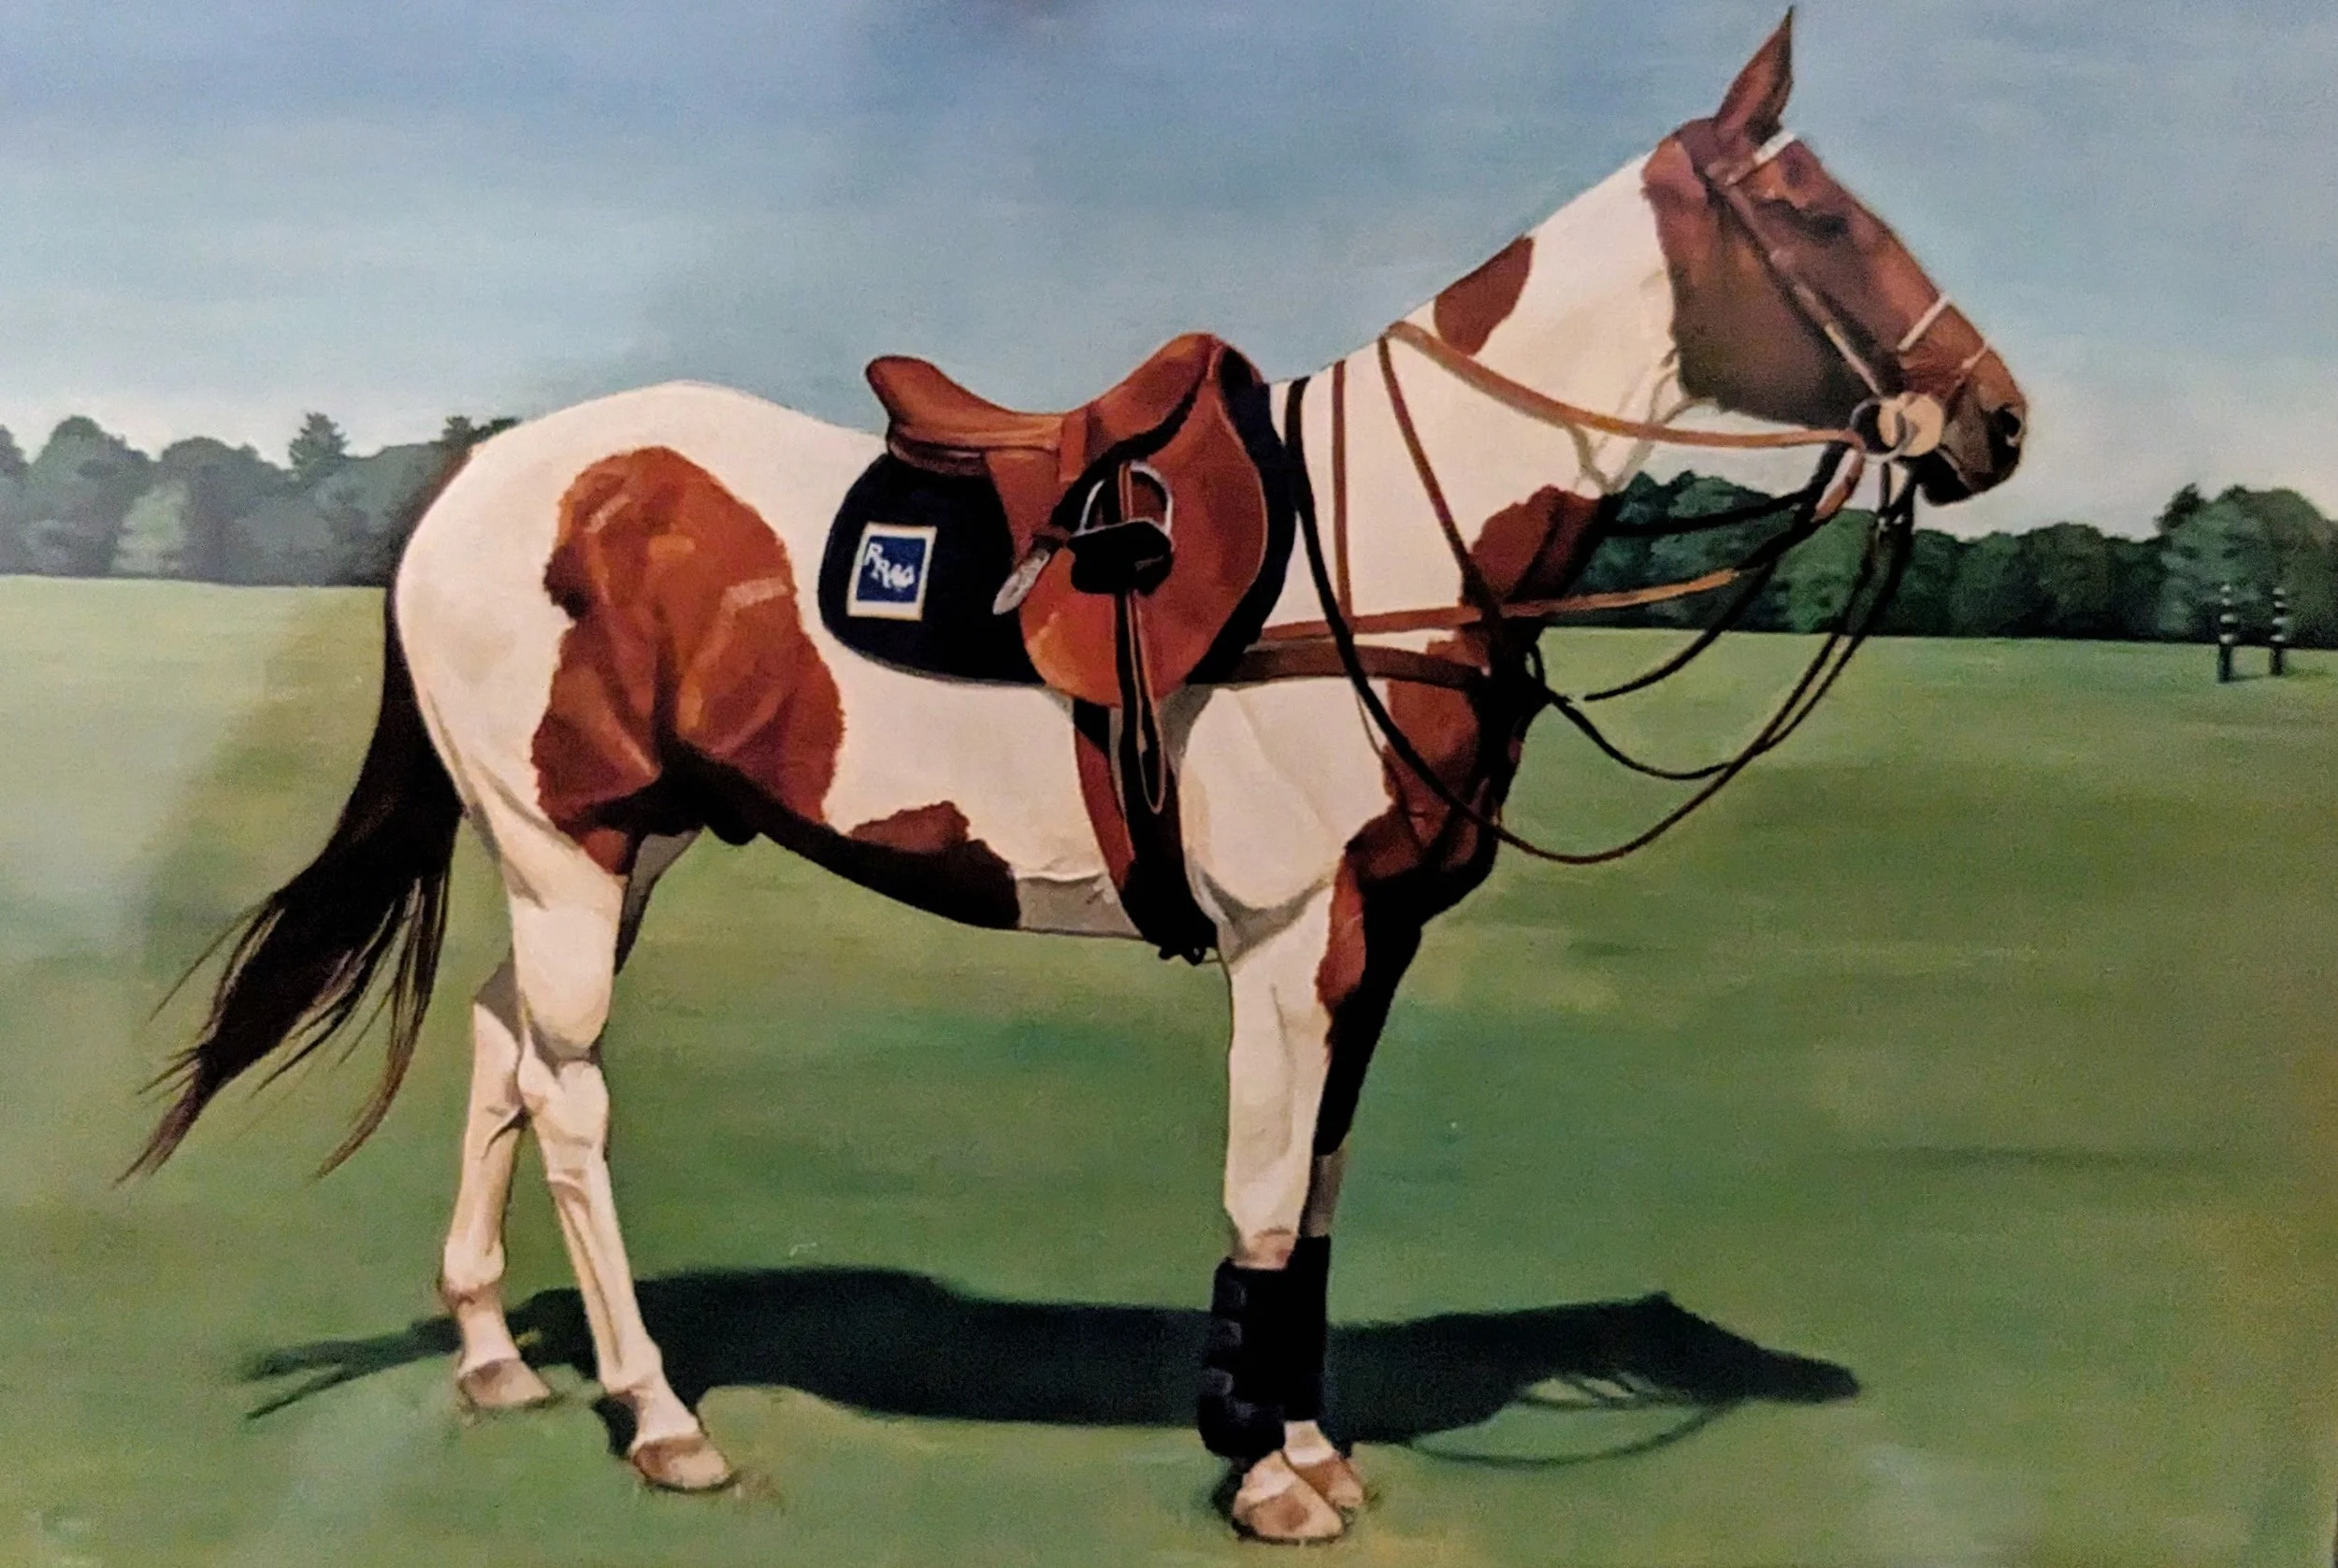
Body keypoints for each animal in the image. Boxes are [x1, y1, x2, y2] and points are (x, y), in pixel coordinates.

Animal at [133, 15, 2024, 1544]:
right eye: (1821, 217)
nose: (1996, 420)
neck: (1385, 549)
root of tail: (474, 485)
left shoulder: (1376, 943)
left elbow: (1315, 1196)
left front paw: (1308, 1445)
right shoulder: (1289, 936)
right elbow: (1263, 1194)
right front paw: (1262, 1470)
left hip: (620, 847)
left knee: (500, 1043)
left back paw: (489, 1355)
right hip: (566, 838)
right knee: (574, 1090)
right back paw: (657, 1415)